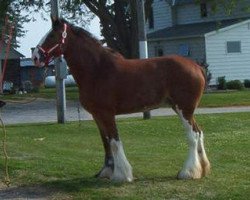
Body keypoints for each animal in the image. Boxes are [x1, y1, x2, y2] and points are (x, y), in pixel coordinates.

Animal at [32, 17, 210, 183]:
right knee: (199, 132)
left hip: (184, 109)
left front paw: (121, 175)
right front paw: (106, 171)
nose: (35, 57)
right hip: (182, 109)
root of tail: (196, 66)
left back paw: (187, 172)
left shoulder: (107, 114)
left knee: (193, 136)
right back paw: (202, 169)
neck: (97, 70)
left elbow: (115, 142)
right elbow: (106, 142)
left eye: (52, 35)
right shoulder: (97, 115)